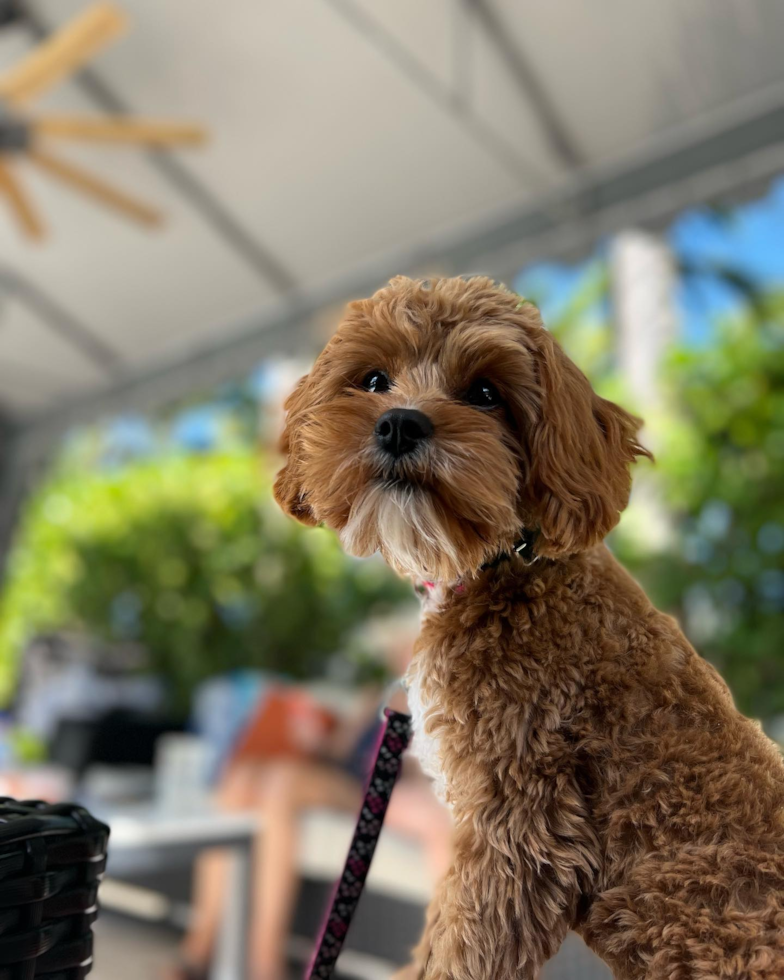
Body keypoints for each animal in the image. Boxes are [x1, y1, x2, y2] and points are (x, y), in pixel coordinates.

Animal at [274, 276, 784, 980]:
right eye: (374, 379)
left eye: (486, 393)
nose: (400, 422)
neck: (506, 565)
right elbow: (436, 937)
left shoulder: (520, 816)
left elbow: (462, 947)